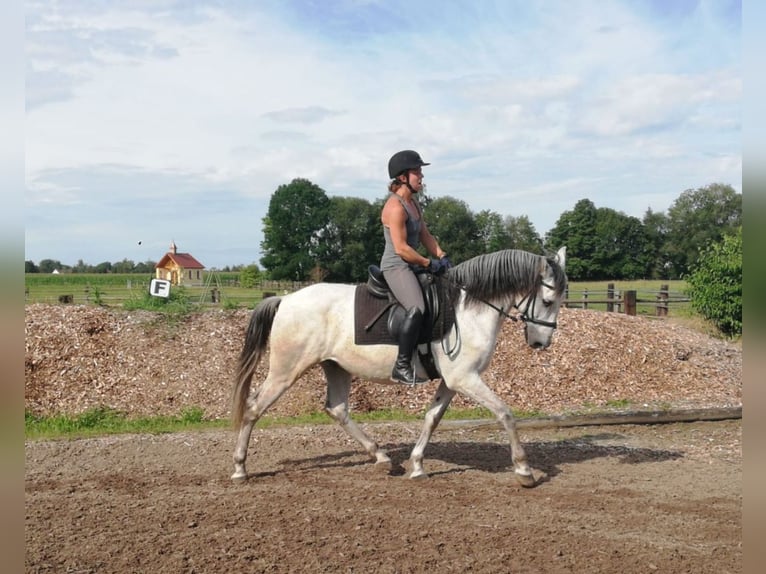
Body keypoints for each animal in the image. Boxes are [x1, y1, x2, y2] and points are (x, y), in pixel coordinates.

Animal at [231, 248, 568, 486]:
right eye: (548, 301)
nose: (541, 343)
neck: (469, 309)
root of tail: (285, 299)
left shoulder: (452, 382)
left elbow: (432, 418)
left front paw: (417, 465)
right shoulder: (466, 379)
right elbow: (505, 413)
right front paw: (524, 470)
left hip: (336, 366)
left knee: (337, 409)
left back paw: (381, 457)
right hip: (285, 371)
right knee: (253, 408)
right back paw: (239, 468)